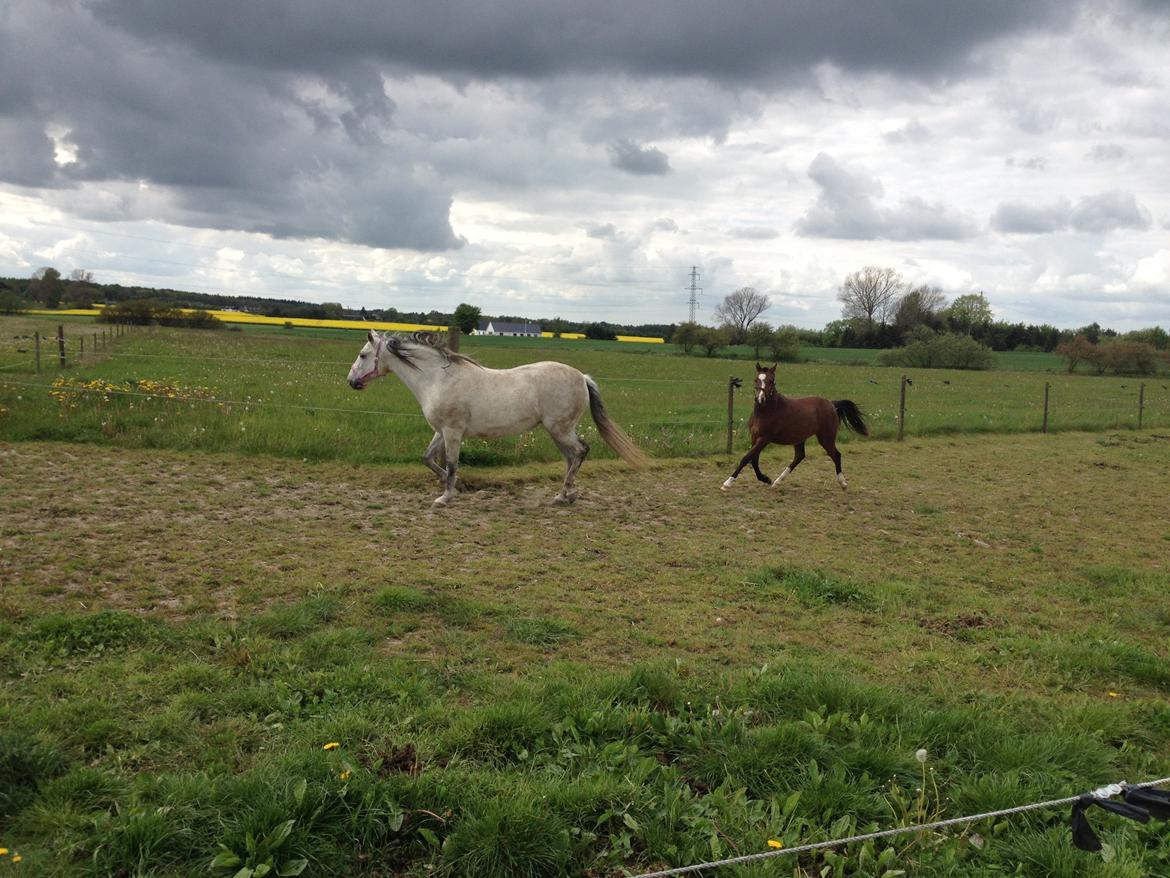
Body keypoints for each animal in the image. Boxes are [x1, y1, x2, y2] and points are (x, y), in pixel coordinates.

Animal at [346, 332, 650, 508]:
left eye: (363, 355)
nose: (351, 382)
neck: (437, 379)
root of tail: (582, 377)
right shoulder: (441, 431)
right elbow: (428, 459)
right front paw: (459, 487)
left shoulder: (453, 431)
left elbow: (452, 463)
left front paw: (445, 497)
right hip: (558, 431)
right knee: (571, 457)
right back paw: (566, 495)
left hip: (560, 429)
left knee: (580, 451)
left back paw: (564, 495)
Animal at [716, 360, 865, 491]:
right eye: (756, 380)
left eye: (771, 381)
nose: (760, 399)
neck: (767, 411)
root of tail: (832, 404)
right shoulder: (754, 437)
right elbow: (754, 460)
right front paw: (766, 479)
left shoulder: (764, 438)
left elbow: (746, 458)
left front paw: (727, 483)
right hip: (800, 438)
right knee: (799, 456)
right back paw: (777, 482)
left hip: (826, 438)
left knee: (836, 455)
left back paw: (843, 483)